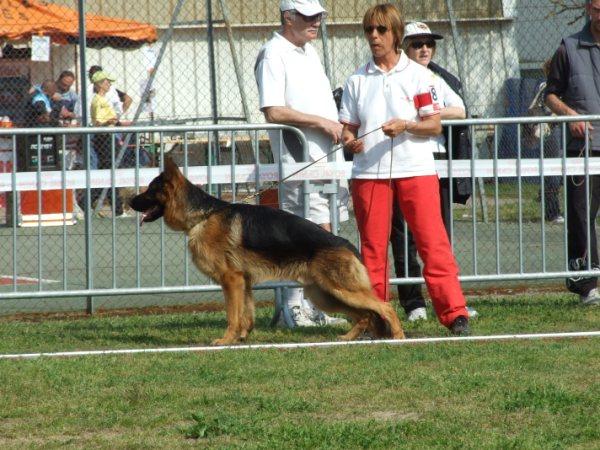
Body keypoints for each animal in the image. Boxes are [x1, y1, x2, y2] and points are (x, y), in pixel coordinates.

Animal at [130, 158, 404, 344]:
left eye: (149, 190)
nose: (129, 201)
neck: (202, 216)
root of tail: (346, 244)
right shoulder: (244, 282)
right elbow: (246, 314)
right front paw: (241, 337)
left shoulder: (231, 280)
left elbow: (232, 315)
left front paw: (225, 340)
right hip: (325, 294)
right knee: (365, 315)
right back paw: (348, 337)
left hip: (339, 291)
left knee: (384, 307)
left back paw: (399, 336)